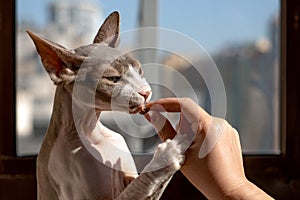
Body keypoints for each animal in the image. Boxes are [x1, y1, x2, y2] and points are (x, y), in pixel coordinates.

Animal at [28, 11, 191, 200]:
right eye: (113, 79)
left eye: (140, 71)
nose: (146, 92)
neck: (92, 131)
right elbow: (141, 184)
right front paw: (168, 154)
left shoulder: (129, 178)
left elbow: (149, 188)